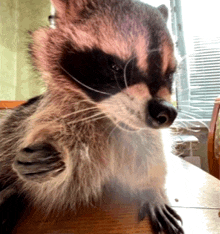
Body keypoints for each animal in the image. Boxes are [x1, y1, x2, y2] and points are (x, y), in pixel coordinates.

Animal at [0, 0, 184, 233]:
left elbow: (152, 155)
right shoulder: (55, 113)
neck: (111, 121)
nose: (166, 112)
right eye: (115, 67)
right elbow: (61, 185)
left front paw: (153, 189)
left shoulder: (145, 135)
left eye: (169, 75)